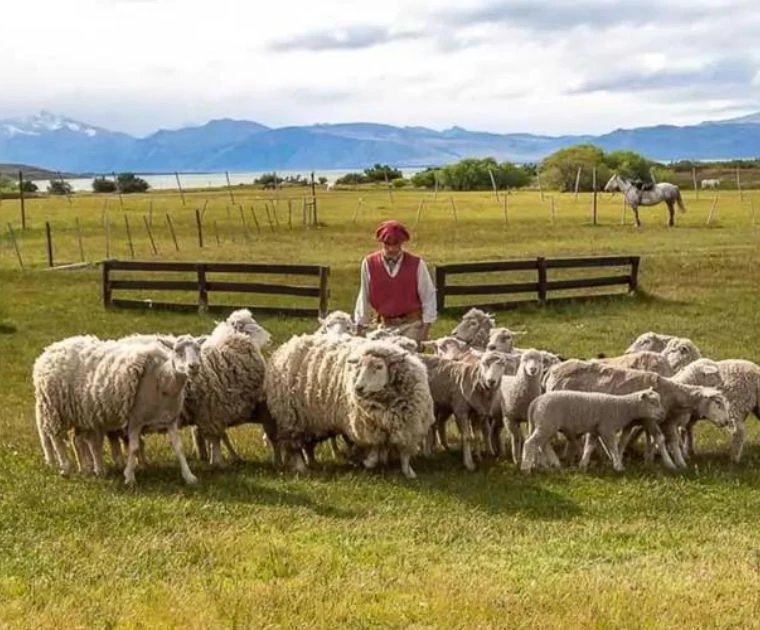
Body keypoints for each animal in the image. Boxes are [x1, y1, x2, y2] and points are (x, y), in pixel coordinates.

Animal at [32, 334, 200, 486]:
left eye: (198, 349)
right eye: (177, 350)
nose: (194, 366)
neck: (162, 380)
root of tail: (50, 350)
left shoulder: (169, 420)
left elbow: (179, 448)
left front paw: (189, 477)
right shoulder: (135, 420)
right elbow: (133, 448)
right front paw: (129, 476)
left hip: (82, 415)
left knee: (78, 440)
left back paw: (87, 469)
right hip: (54, 408)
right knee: (56, 438)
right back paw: (66, 468)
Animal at [266, 336, 434, 478]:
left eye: (379, 366)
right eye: (359, 366)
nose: (358, 388)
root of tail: (286, 347)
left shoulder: (408, 426)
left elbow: (404, 453)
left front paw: (408, 472)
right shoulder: (369, 426)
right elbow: (375, 447)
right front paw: (369, 462)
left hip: (312, 421)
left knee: (308, 445)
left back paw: (313, 463)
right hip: (291, 418)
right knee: (294, 446)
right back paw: (302, 468)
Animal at [524, 390, 664, 474]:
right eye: (652, 402)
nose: (662, 414)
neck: (622, 408)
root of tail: (535, 402)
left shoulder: (595, 430)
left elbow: (589, 447)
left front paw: (583, 464)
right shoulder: (606, 428)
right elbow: (613, 447)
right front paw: (619, 467)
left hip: (546, 425)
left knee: (543, 445)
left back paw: (552, 464)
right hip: (546, 423)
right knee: (531, 443)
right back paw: (526, 468)